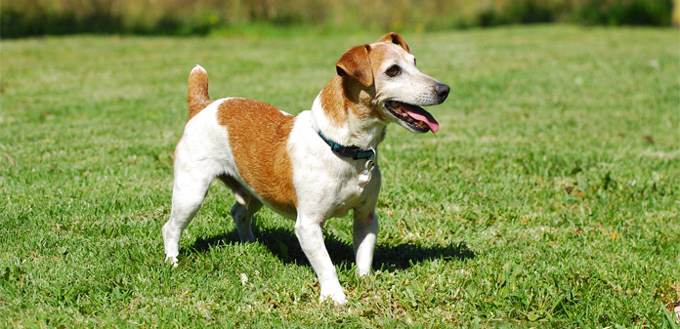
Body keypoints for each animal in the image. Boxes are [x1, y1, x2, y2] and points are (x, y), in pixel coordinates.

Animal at [163, 32, 452, 304]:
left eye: (415, 62)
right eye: (393, 71)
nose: (445, 89)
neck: (343, 148)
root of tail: (203, 105)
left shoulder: (366, 217)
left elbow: (364, 254)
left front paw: (364, 282)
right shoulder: (308, 225)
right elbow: (325, 264)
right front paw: (336, 297)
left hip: (258, 191)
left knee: (239, 212)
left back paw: (251, 243)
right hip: (191, 193)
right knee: (171, 227)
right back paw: (172, 261)